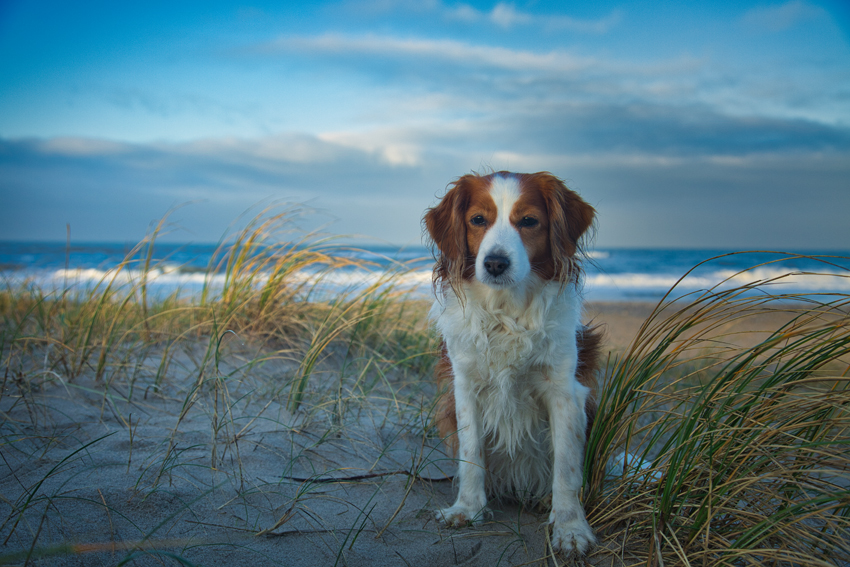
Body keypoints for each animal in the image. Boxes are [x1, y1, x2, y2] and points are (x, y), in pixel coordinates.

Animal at [422, 171, 596, 556]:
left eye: (528, 221)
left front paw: (570, 527)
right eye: (478, 220)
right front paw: (467, 508)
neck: (506, 313)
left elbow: (566, 466)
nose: (495, 263)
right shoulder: (464, 387)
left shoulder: (564, 392)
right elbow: (471, 453)